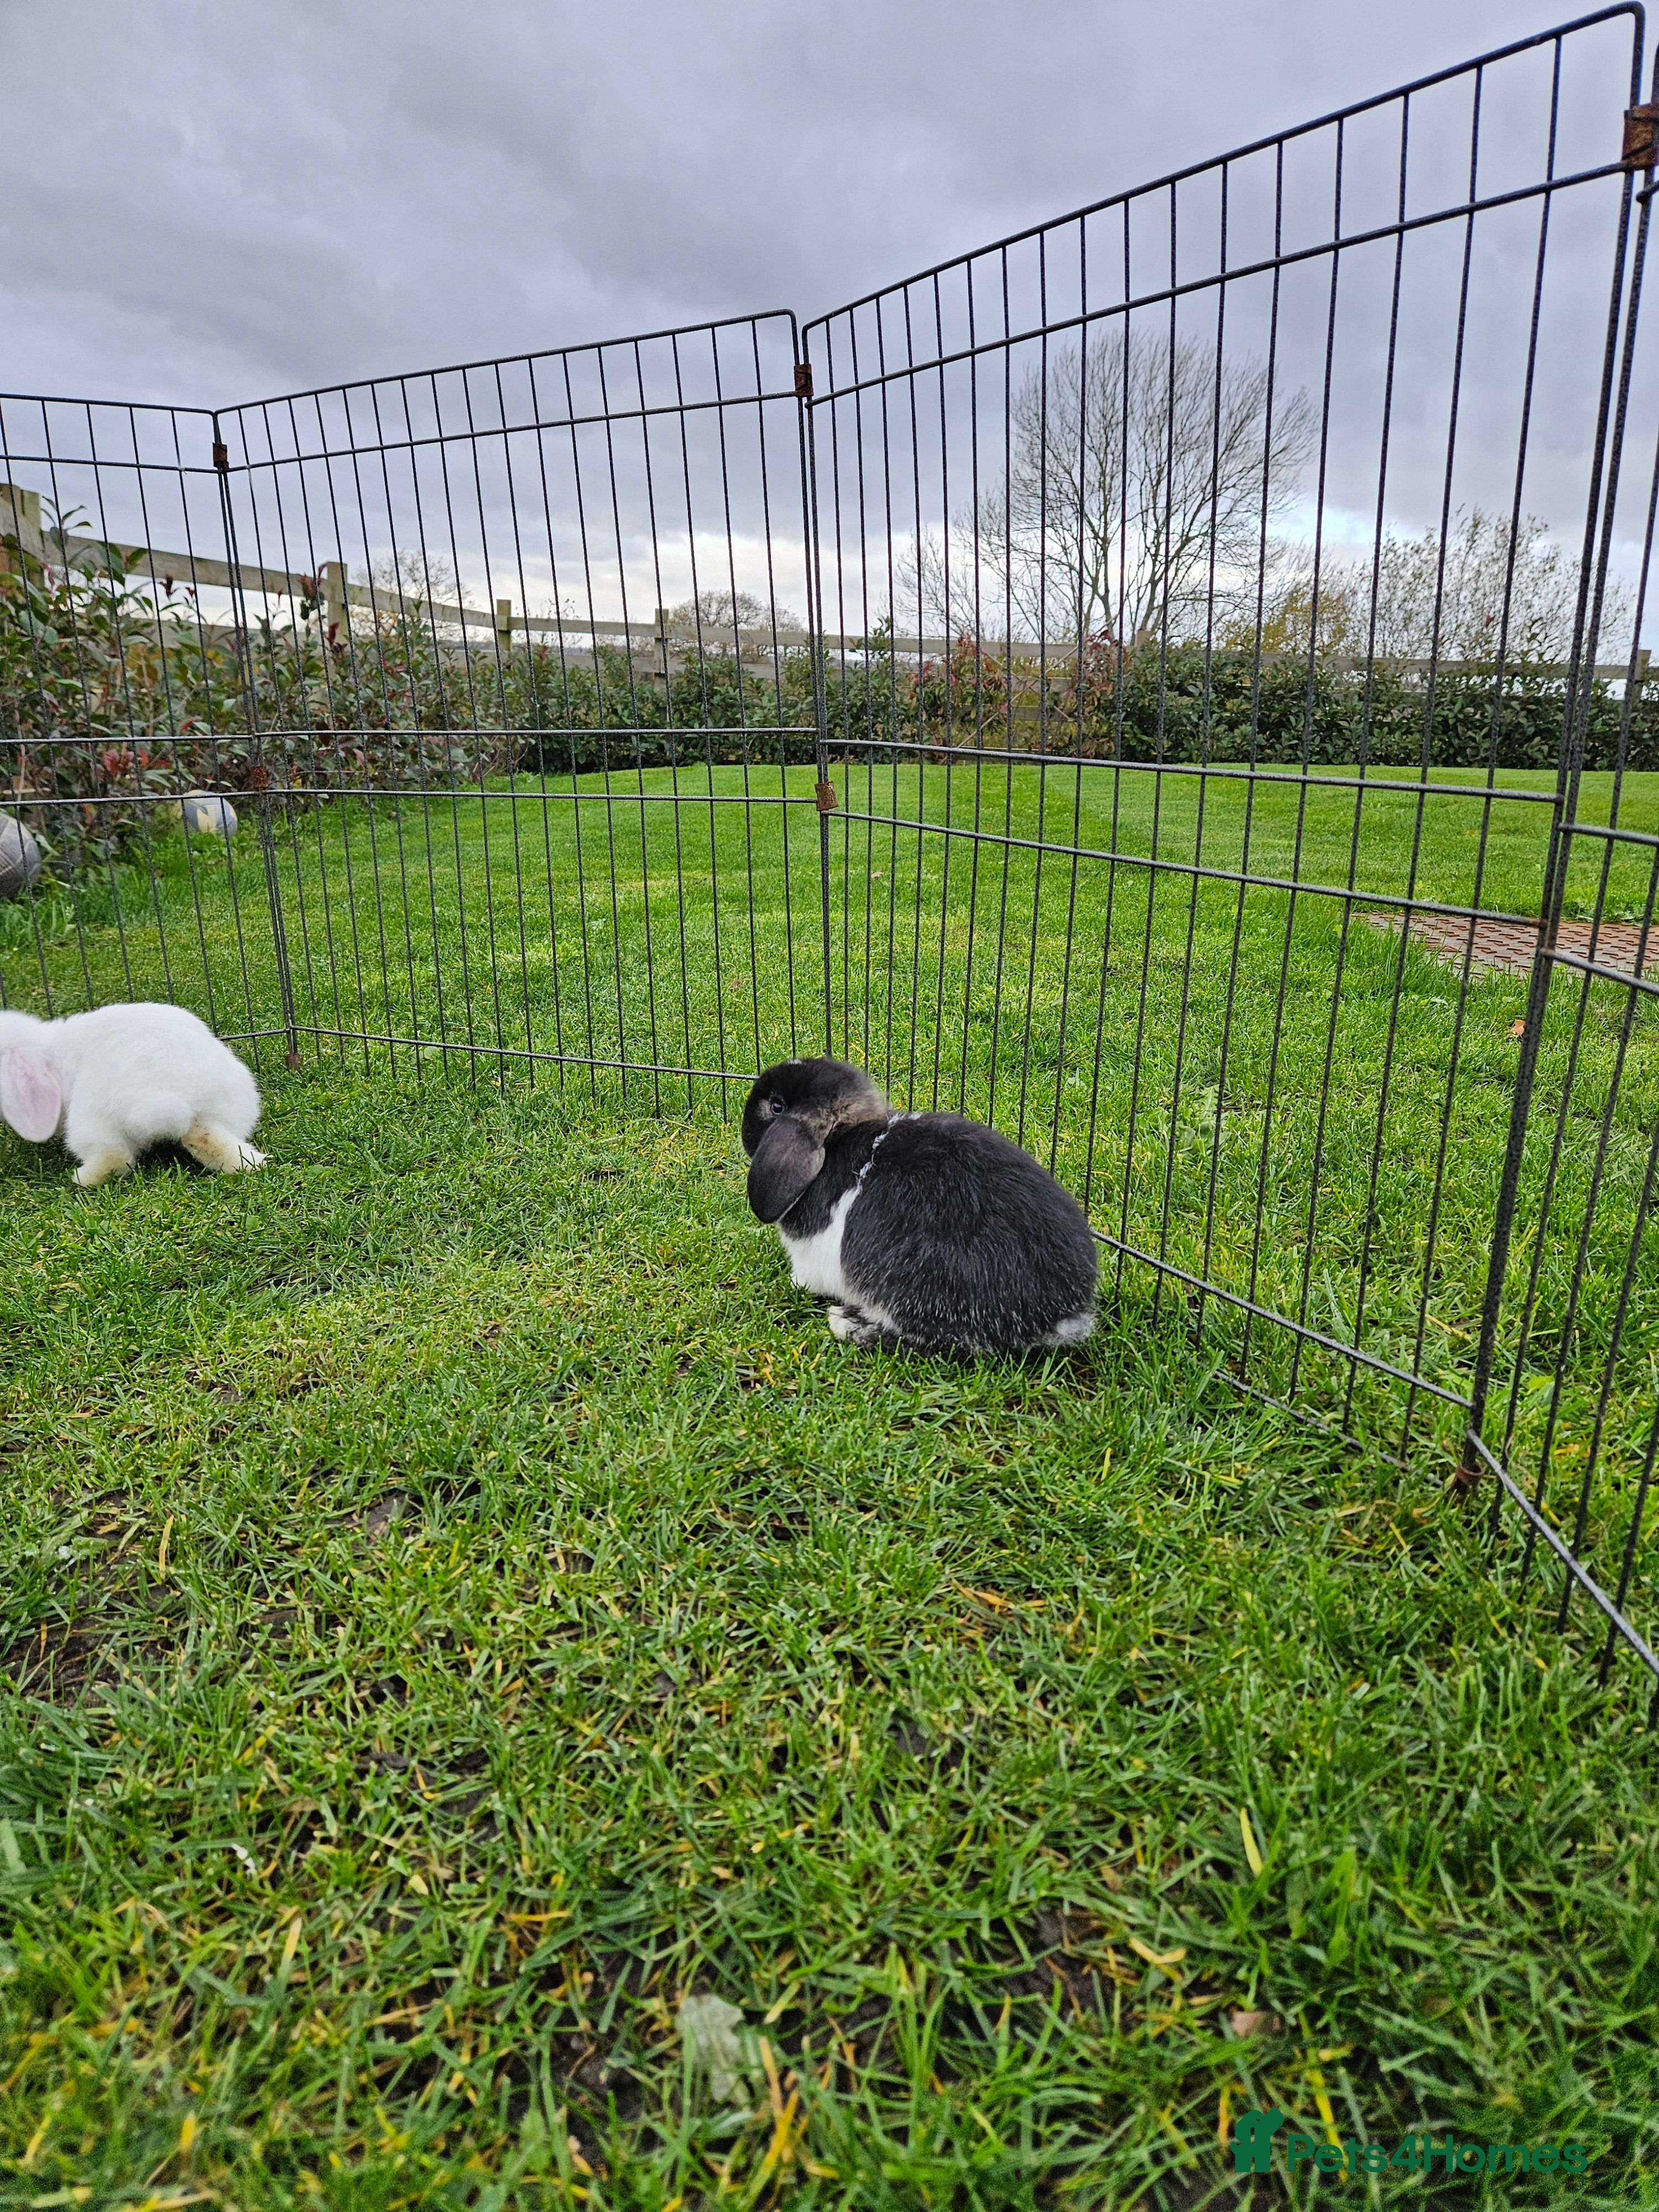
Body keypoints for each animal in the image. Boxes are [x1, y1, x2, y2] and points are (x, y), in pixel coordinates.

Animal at [740, 1056, 1097, 1356]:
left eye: (776, 1107)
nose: (745, 1133)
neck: (838, 1143)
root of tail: (1062, 1313)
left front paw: (793, 1284)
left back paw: (847, 1324)